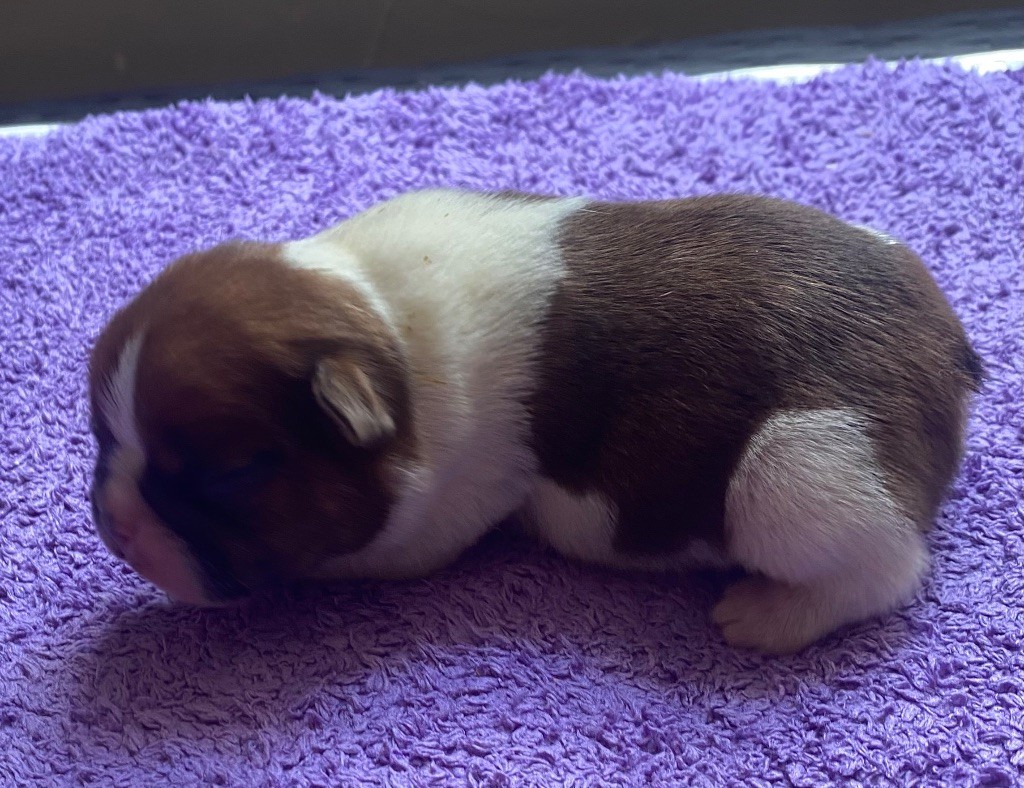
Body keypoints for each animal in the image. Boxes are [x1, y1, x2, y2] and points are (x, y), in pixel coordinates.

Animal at [88, 189, 981, 653]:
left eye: (229, 475)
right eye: (101, 433)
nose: (120, 531)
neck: (383, 327)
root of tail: (950, 347)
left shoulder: (428, 521)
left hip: (797, 474)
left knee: (885, 568)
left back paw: (766, 615)